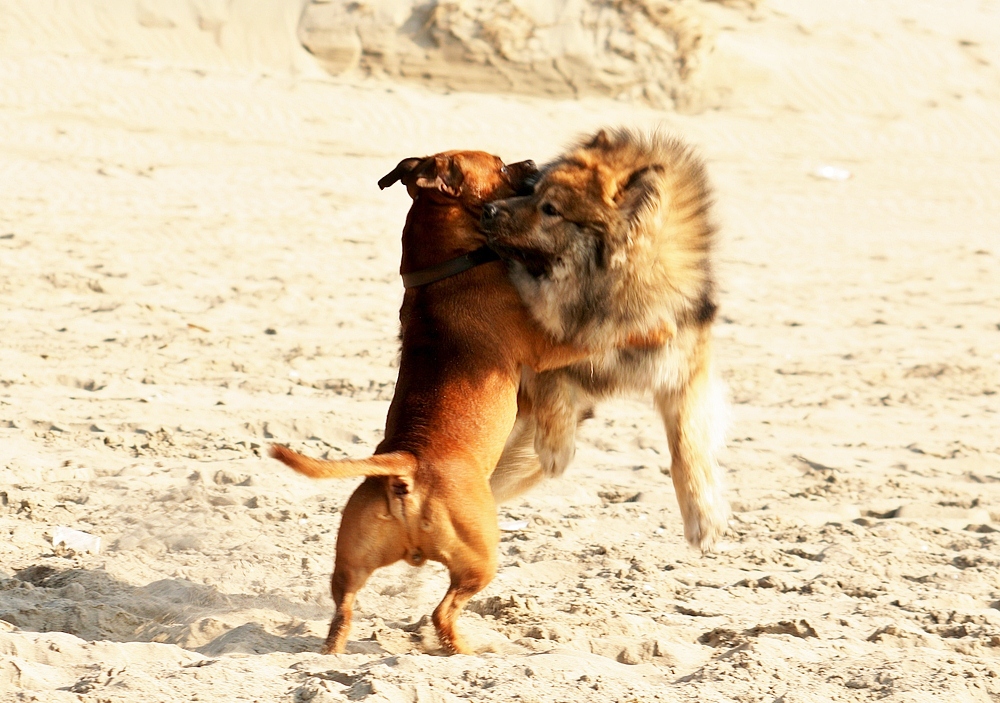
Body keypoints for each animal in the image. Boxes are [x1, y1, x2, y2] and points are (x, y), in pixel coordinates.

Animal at [272, 151, 640, 656]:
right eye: (500, 164)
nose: (531, 161)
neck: (445, 264)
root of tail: (406, 464)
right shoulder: (554, 341)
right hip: (479, 556)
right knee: (444, 611)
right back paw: (466, 651)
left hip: (351, 560)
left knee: (344, 608)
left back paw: (332, 653)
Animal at [480, 129, 732, 552]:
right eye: (531, 191)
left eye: (550, 209)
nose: (487, 210)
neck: (609, 300)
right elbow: (550, 378)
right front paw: (557, 444)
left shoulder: (683, 367)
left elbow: (687, 443)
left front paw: (704, 518)